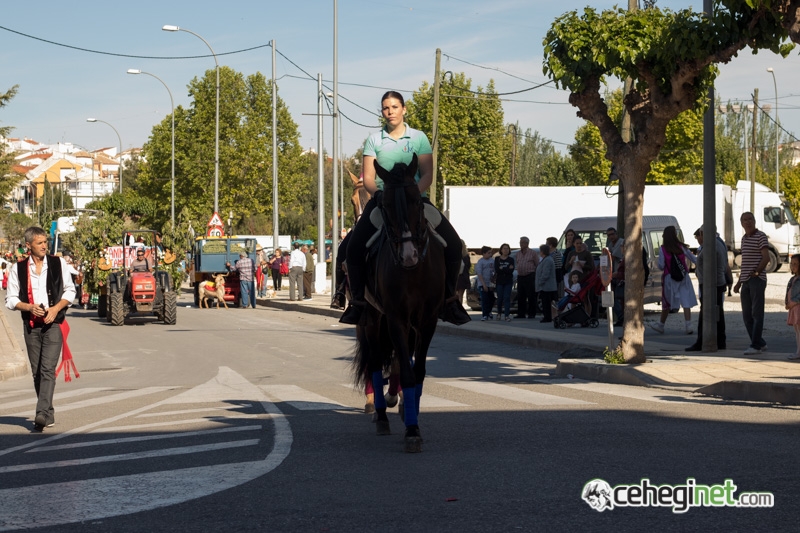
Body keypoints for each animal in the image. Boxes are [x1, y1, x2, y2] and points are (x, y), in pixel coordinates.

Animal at [354, 154, 446, 454]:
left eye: (417, 199)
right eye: (385, 205)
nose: (408, 255)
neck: (413, 271)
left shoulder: (426, 321)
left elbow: (417, 371)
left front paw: (411, 412)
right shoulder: (395, 318)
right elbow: (406, 371)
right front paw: (412, 431)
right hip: (372, 319)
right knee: (373, 363)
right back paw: (382, 414)